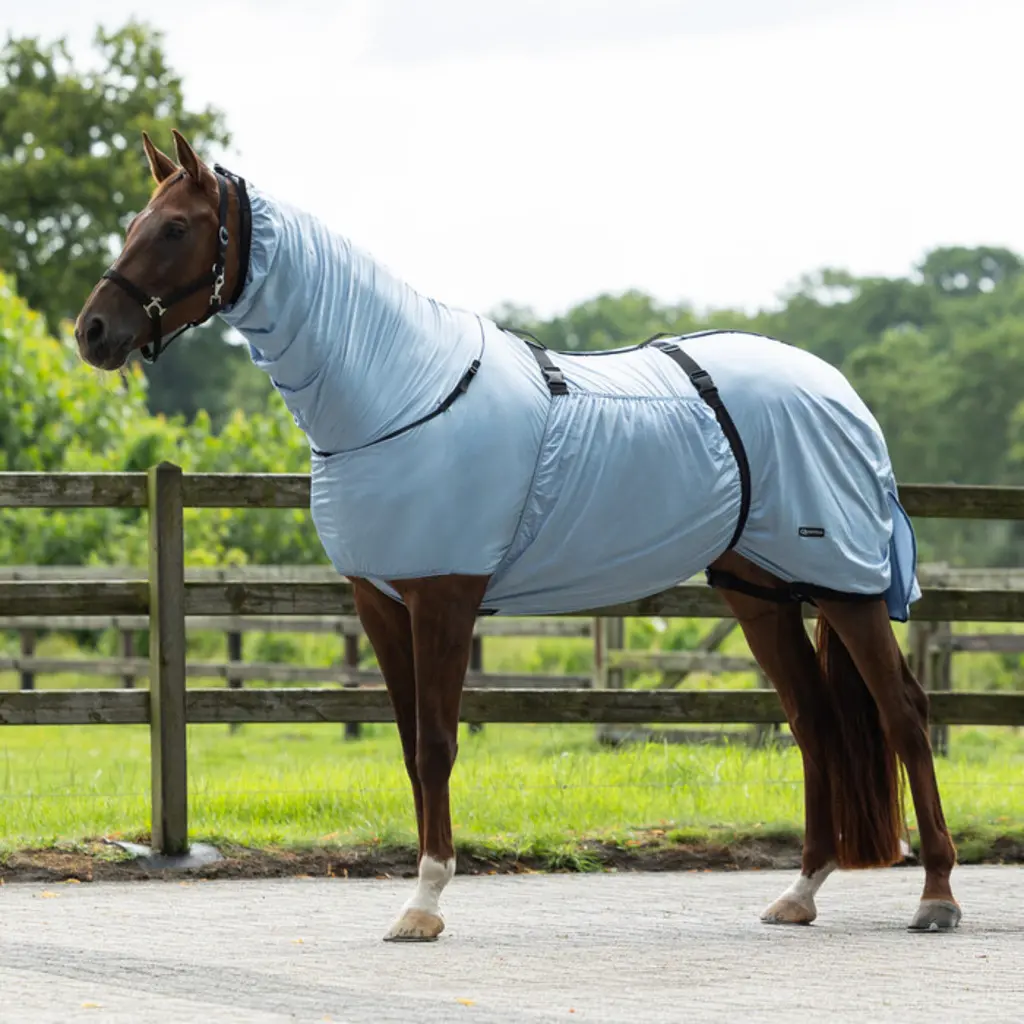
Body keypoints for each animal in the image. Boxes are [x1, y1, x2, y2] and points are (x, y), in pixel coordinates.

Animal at [74, 129, 960, 942]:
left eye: (175, 229)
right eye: (134, 222)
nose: (93, 332)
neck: (400, 391)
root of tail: (837, 389)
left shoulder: (445, 595)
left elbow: (436, 744)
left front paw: (425, 903)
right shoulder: (379, 602)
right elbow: (409, 748)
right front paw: (421, 892)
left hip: (844, 586)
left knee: (904, 714)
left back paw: (937, 896)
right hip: (760, 591)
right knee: (815, 723)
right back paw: (800, 892)